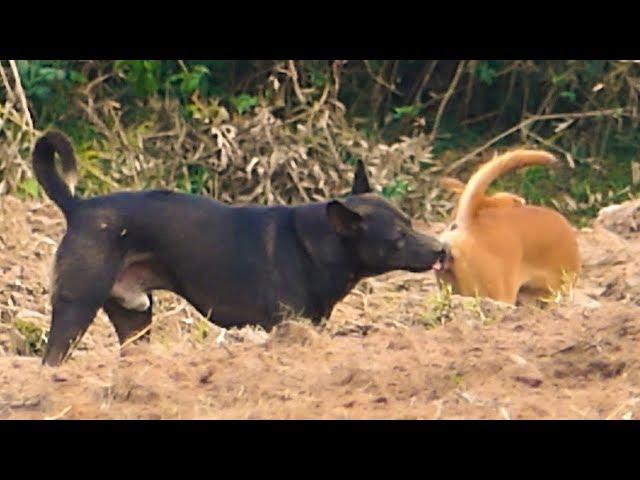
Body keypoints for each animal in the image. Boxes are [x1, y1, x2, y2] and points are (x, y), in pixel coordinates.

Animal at [33, 130, 444, 364]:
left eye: (411, 223)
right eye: (398, 238)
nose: (441, 250)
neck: (320, 244)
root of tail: (78, 207)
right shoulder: (288, 329)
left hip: (135, 316)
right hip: (77, 307)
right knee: (51, 358)